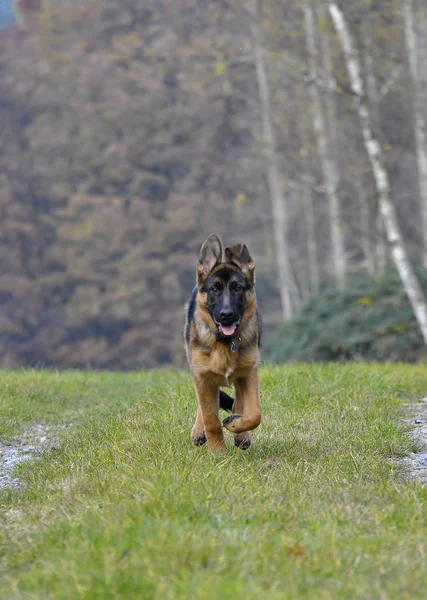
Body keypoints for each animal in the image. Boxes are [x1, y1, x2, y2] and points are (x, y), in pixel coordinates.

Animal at [186, 232, 262, 452]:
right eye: (214, 289)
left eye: (237, 288)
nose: (226, 315)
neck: (225, 343)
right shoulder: (202, 376)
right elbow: (211, 418)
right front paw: (218, 452)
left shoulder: (249, 373)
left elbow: (254, 413)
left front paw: (236, 426)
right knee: (205, 406)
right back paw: (199, 431)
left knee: (238, 404)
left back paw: (240, 432)